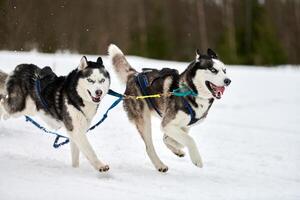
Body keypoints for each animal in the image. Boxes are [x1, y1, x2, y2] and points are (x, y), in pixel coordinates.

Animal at [109, 44, 231, 173]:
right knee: (149, 147)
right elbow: (190, 140)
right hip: (144, 121)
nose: (228, 81)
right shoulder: (167, 124)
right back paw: (160, 165)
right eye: (213, 70)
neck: (191, 91)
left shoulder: (183, 126)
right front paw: (196, 159)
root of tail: (134, 75)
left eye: (224, 70)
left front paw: (177, 149)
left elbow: (171, 139)